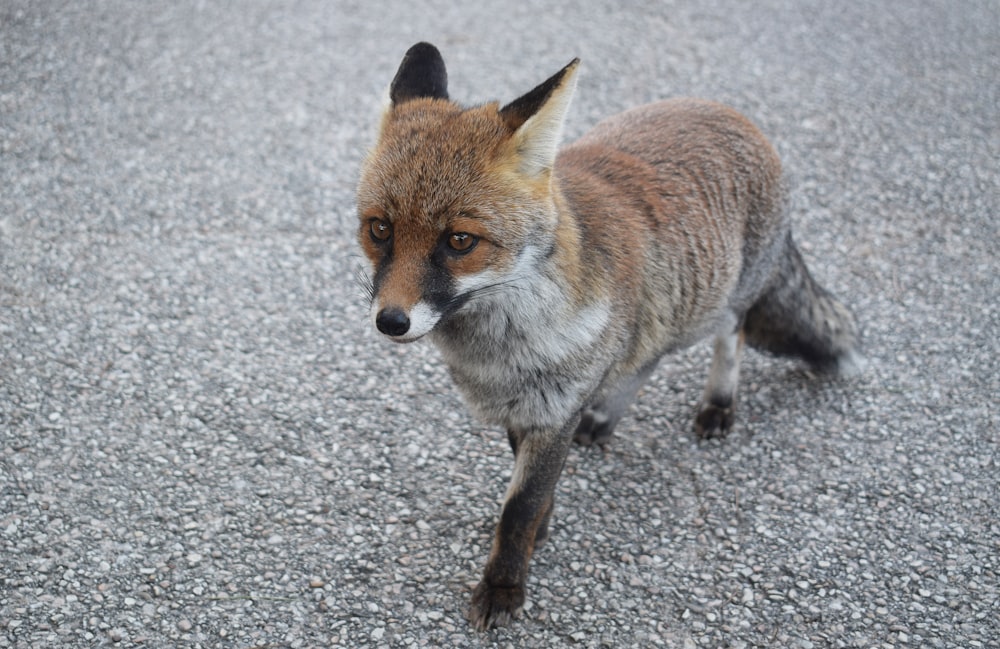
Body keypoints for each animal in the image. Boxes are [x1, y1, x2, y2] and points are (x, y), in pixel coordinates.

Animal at [356, 41, 864, 628]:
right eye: (380, 229)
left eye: (460, 241)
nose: (391, 321)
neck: (501, 347)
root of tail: (733, 114)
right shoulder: (529, 406)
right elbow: (529, 488)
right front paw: (542, 529)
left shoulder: (554, 406)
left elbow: (520, 506)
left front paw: (505, 584)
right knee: (647, 359)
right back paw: (606, 419)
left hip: (721, 305)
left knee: (730, 341)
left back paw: (718, 404)